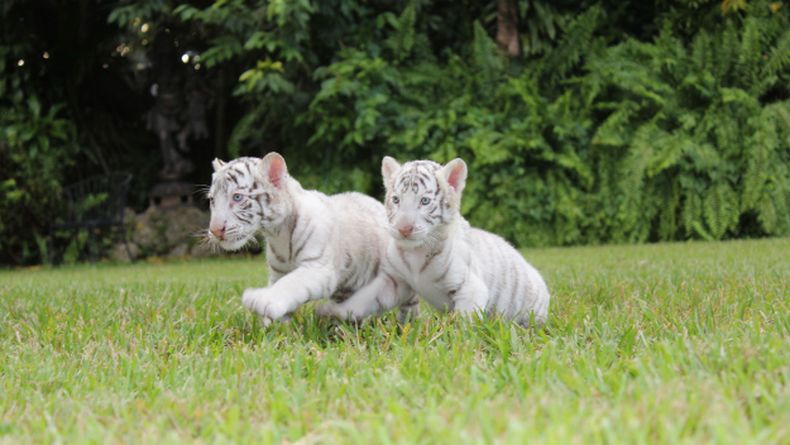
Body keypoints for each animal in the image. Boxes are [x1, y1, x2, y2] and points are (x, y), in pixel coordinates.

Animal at [207, 152, 417, 325]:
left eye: (237, 197)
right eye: (212, 200)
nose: (215, 231)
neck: (277, 233)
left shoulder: (317, 269)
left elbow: (290, 284)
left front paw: (262, 301)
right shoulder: (277, 273)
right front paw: (275, 331)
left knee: (409, 305)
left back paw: (406, 326)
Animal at [376, 156, 550, 326]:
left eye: (424, 201)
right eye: (396, 200)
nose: (403, 229)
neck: (416, 253)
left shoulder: (471, 289)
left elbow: (463, 324)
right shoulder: (396, 279)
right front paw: (404, 327)